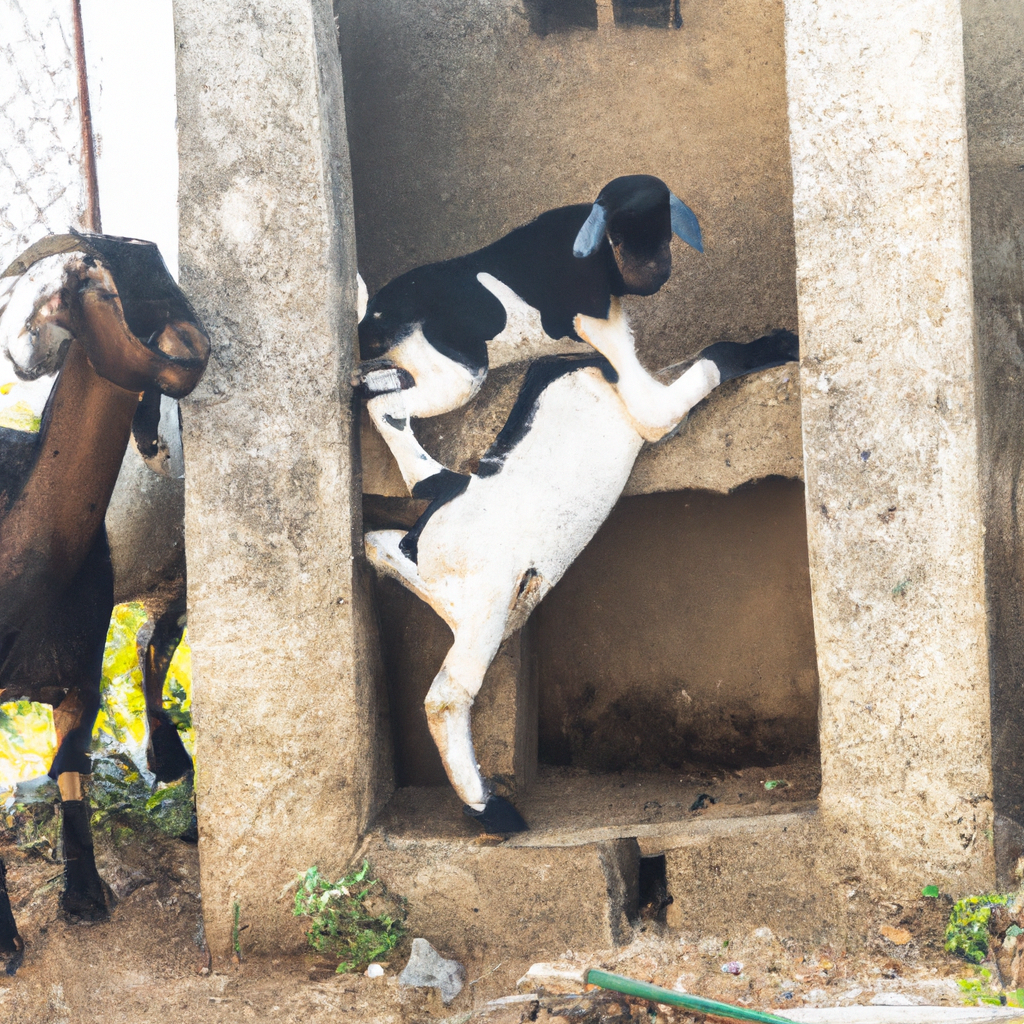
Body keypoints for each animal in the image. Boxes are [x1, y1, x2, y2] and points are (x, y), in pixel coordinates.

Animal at [358, 177, 704, 561]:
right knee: (387, 405)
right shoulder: (593, 313)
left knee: (378, 388)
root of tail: (374, 318)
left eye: (665, 225)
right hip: (459, 369)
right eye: (615, 231)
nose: (652, 271)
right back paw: (442, 484)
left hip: (415, 363)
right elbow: (645, 399)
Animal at [366, 301, 798, 831]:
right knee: (447, 694)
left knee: (379, 536)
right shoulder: (648, 412)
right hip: (486, 604)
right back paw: (490, 807)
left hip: (470, 596)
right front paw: (779, 345)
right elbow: (712, 360)